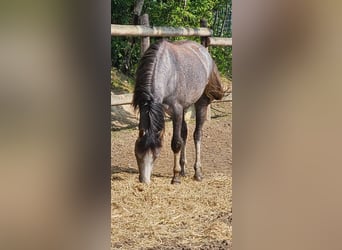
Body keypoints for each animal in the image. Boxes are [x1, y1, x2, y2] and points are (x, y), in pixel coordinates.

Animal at [132, 39, 223, 184]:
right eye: (137, 153)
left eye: (156, 155)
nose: (144, 181)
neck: (167, 72)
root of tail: (205, 53)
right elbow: (181, 137)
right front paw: (179, 172)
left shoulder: (177, 111)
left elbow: (176, 143)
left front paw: (175, 177)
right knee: (185, 133)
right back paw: (183, 170)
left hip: (200, 103)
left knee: (197, 135)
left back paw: (197, 173)